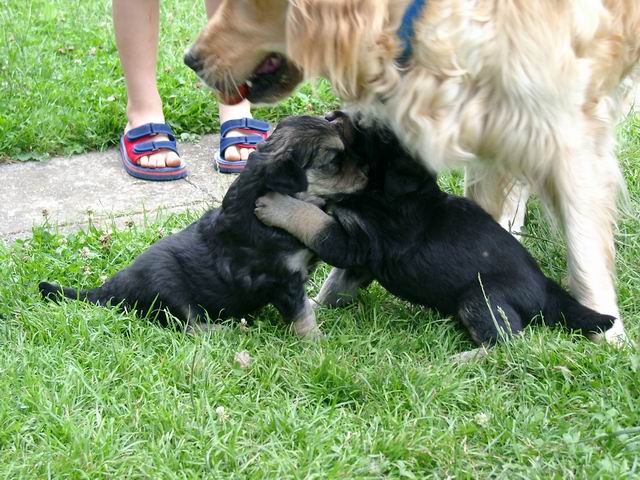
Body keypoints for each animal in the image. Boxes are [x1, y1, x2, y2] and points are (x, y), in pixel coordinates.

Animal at [39, 116, 367, 338]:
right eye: (333, 159)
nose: (366, 174)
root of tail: (110, 288)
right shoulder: (282, 280)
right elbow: (302, 316)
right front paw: (317, 344)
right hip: (166, 288)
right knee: (189, 325)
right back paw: (225, 330)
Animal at [255, 112, 616, 356]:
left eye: (373, 131)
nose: (333, 114)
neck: (384, 192)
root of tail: (546, 290)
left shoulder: (354, 242)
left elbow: (312, 221)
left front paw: (277, 205)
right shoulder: (362, 261)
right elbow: (335, 286)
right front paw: (316, 305)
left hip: (481, 298)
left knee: (508, 341)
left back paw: (467, 357)